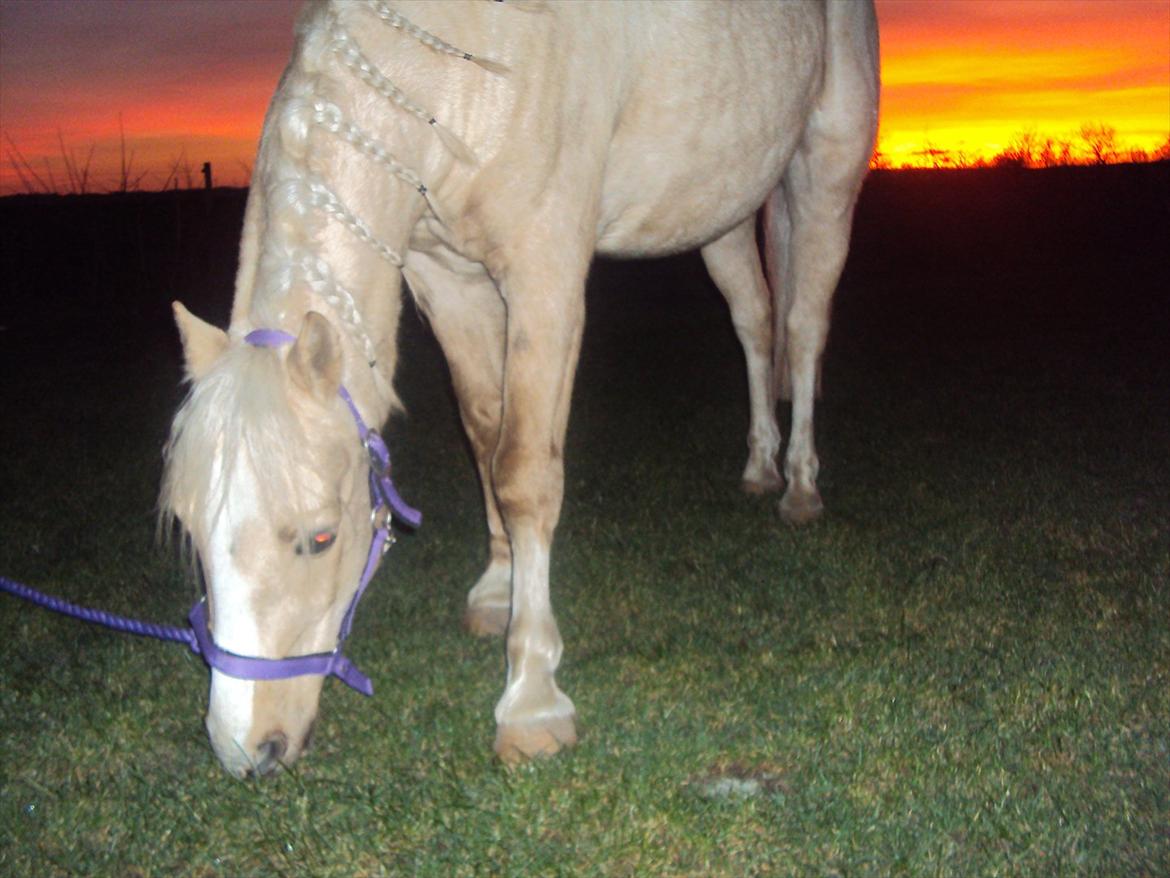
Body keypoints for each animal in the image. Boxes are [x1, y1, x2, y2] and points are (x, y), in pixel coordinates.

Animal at [162, 0, 879, 777]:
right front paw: (497, 590)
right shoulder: (447, 277)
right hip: (722, 206)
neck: (456, 64)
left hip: (825, 171)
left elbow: (525, 474)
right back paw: (758, 465)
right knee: (752, 322)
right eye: (193, 531)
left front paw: (532, 700)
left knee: (803, 329)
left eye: (321, 538)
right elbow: (485, 434)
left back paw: (800, 486)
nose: (245, 748)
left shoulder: (545, 273)